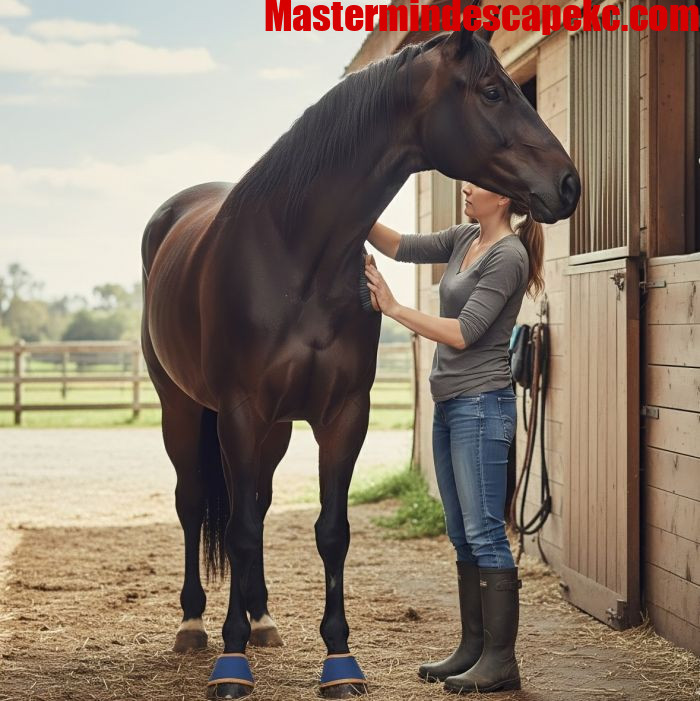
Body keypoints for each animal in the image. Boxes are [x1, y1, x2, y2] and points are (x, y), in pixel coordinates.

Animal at [140, 25, 580, 700]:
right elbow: (237, 530)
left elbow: (329, 530)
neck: (295, 253)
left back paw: (261, 618)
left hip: (272, 431)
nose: (568, 184)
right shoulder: (240, 412)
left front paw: (339, 660)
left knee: (257, 503)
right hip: (182, 409)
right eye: (492, 91)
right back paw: (194, 625)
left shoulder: (344, 415)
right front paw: (231, 665)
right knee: (194, 504)